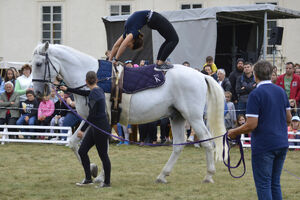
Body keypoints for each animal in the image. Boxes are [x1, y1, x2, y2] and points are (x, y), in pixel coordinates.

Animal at [31, 42, 226, 184]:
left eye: (39, 64)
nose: (39, 92)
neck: (90, 79)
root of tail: (201, 75)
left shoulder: (102, 119)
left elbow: (102, 147)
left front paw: (100, 175)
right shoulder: (89, 118)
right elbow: (72, 143)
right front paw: (93, 170)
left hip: (193, 117)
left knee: (207, 142)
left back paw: (209, 175)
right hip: (176, 116)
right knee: (179, 145)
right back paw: (162, 175)